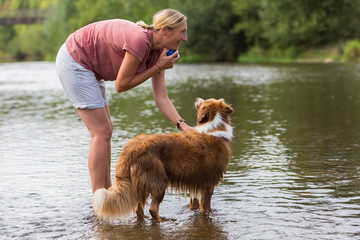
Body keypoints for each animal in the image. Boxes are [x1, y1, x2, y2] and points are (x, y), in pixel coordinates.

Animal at [93, 97, 233, 221]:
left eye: (204, 101)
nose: (196, 98)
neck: (214, 127)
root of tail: (130, 149)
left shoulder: (195, 183)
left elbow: (194, 205)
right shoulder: (208, 185)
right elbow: (206, 209)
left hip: (138, 185)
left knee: (139, 209)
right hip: (158, 181)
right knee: (153, 209)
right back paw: (163, 220)